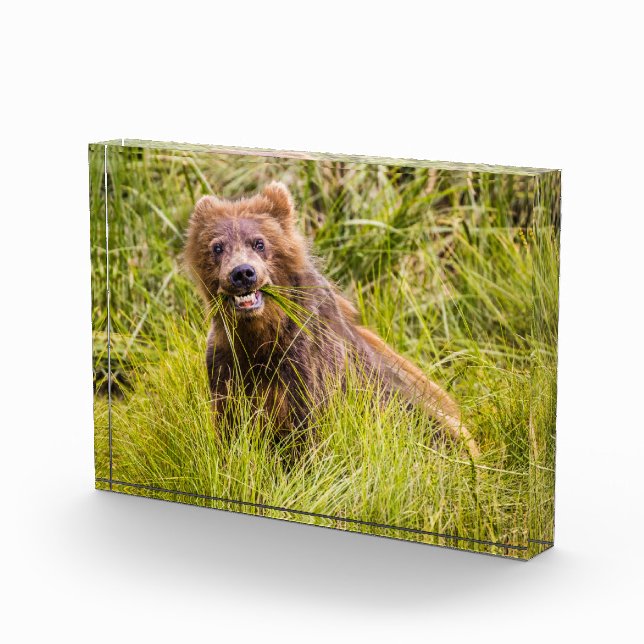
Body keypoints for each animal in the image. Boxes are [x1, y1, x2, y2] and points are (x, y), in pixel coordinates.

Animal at [184, 181, 479, 458]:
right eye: (217, 247)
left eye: (259, 242)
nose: (242, 273)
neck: (260, 334)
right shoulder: (226, 361)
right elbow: (230, 427)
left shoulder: (305, 362)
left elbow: (307, 430)